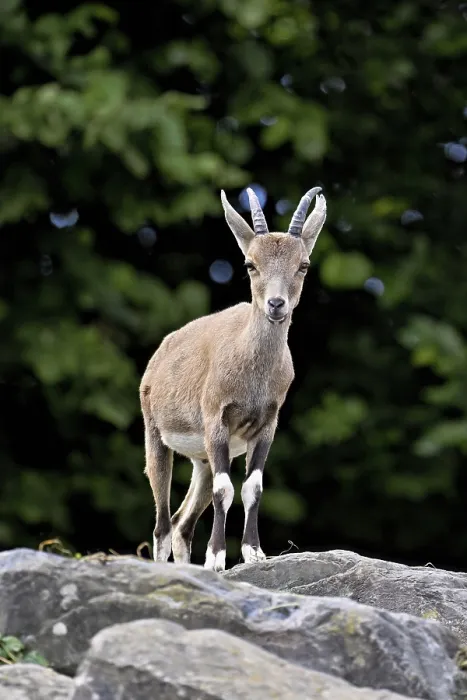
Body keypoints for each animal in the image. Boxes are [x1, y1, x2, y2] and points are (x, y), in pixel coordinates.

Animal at [140, 186, 327, 571]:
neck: (251, 373)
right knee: (163, 524)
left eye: (303, 265)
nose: (276, 304)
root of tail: (159, 355)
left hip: (201, 459)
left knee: (182, 523)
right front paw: (216, 559)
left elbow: (252, 486)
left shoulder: (267, 424)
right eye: (250, 264)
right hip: (156, 436)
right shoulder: (216, 419)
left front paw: (253, 552)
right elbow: (225, 489)